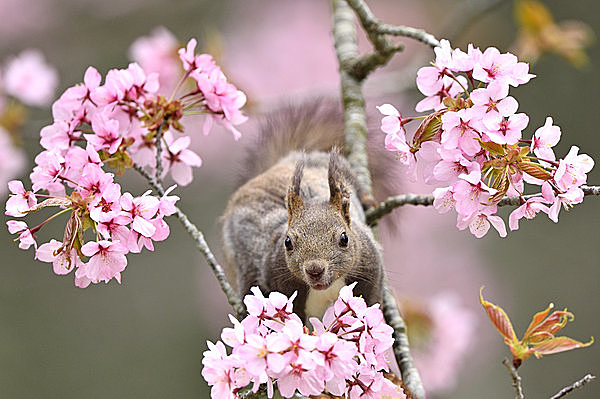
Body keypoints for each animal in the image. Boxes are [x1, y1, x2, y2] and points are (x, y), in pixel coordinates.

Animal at [219, 102, 384, 322]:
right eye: (287, 242)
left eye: (344, 239)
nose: (314, 270)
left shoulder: (371, 271)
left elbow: (372, 301)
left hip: (338, 168)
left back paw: (367, 200)